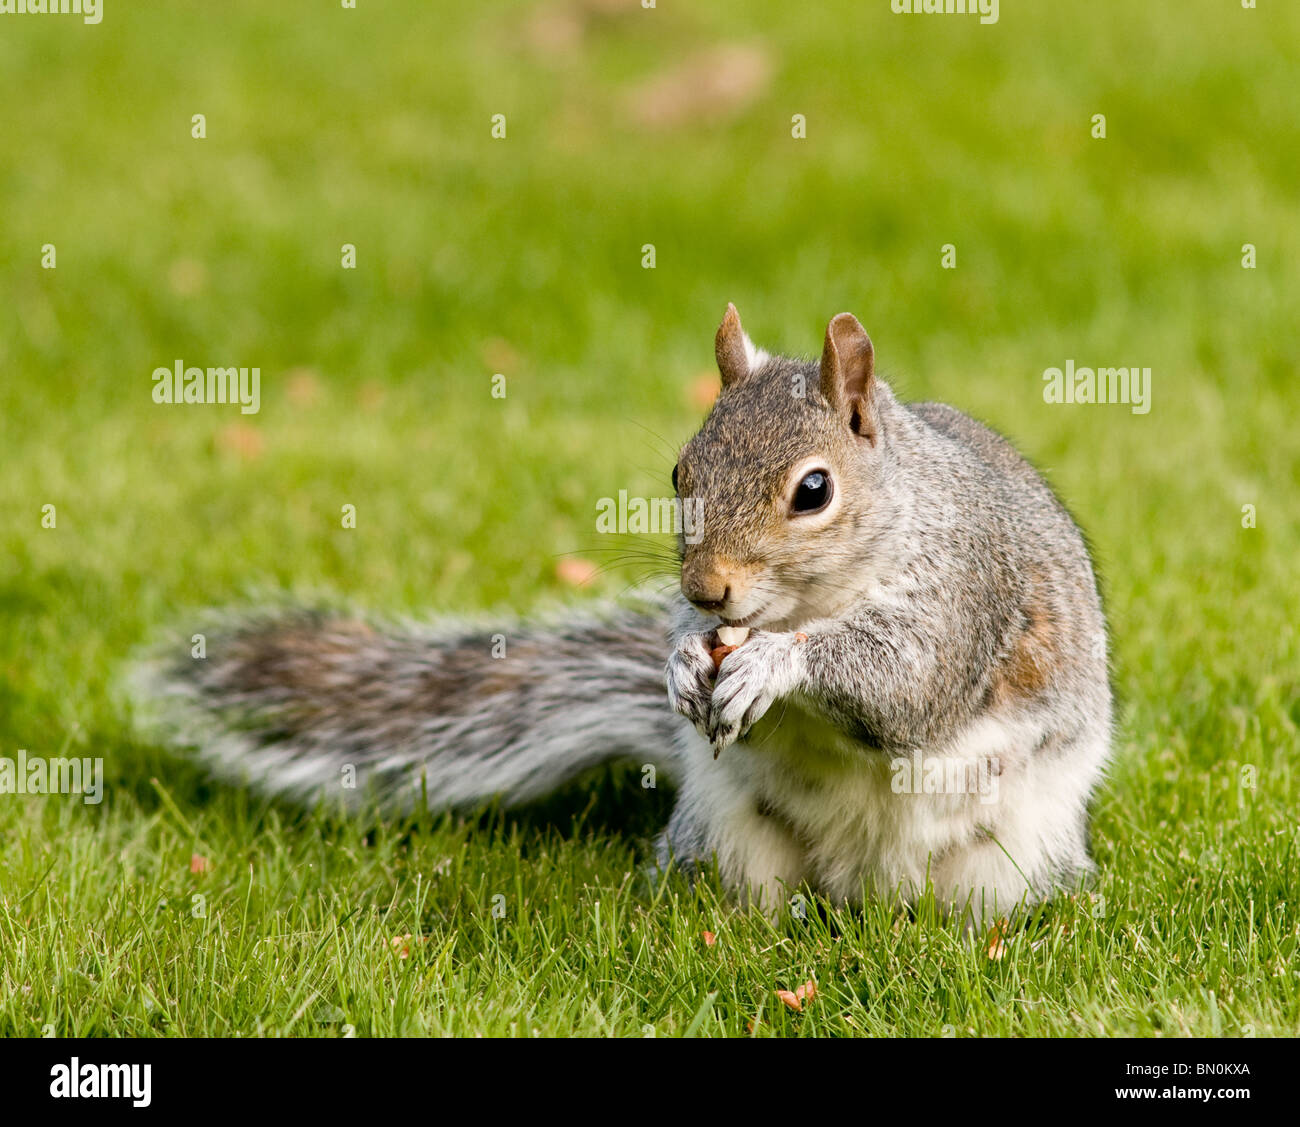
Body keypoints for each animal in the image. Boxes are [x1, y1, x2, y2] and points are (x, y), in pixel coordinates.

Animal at [126, 306, 1112, 925]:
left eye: (814, 490)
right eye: (680, 471)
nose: (707, 589)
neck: (813, 597)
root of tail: (861, 889)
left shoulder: (964, 592)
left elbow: (909, 686)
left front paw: (775, 664)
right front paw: (679, 661)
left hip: (1005, 860)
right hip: (732, 839)